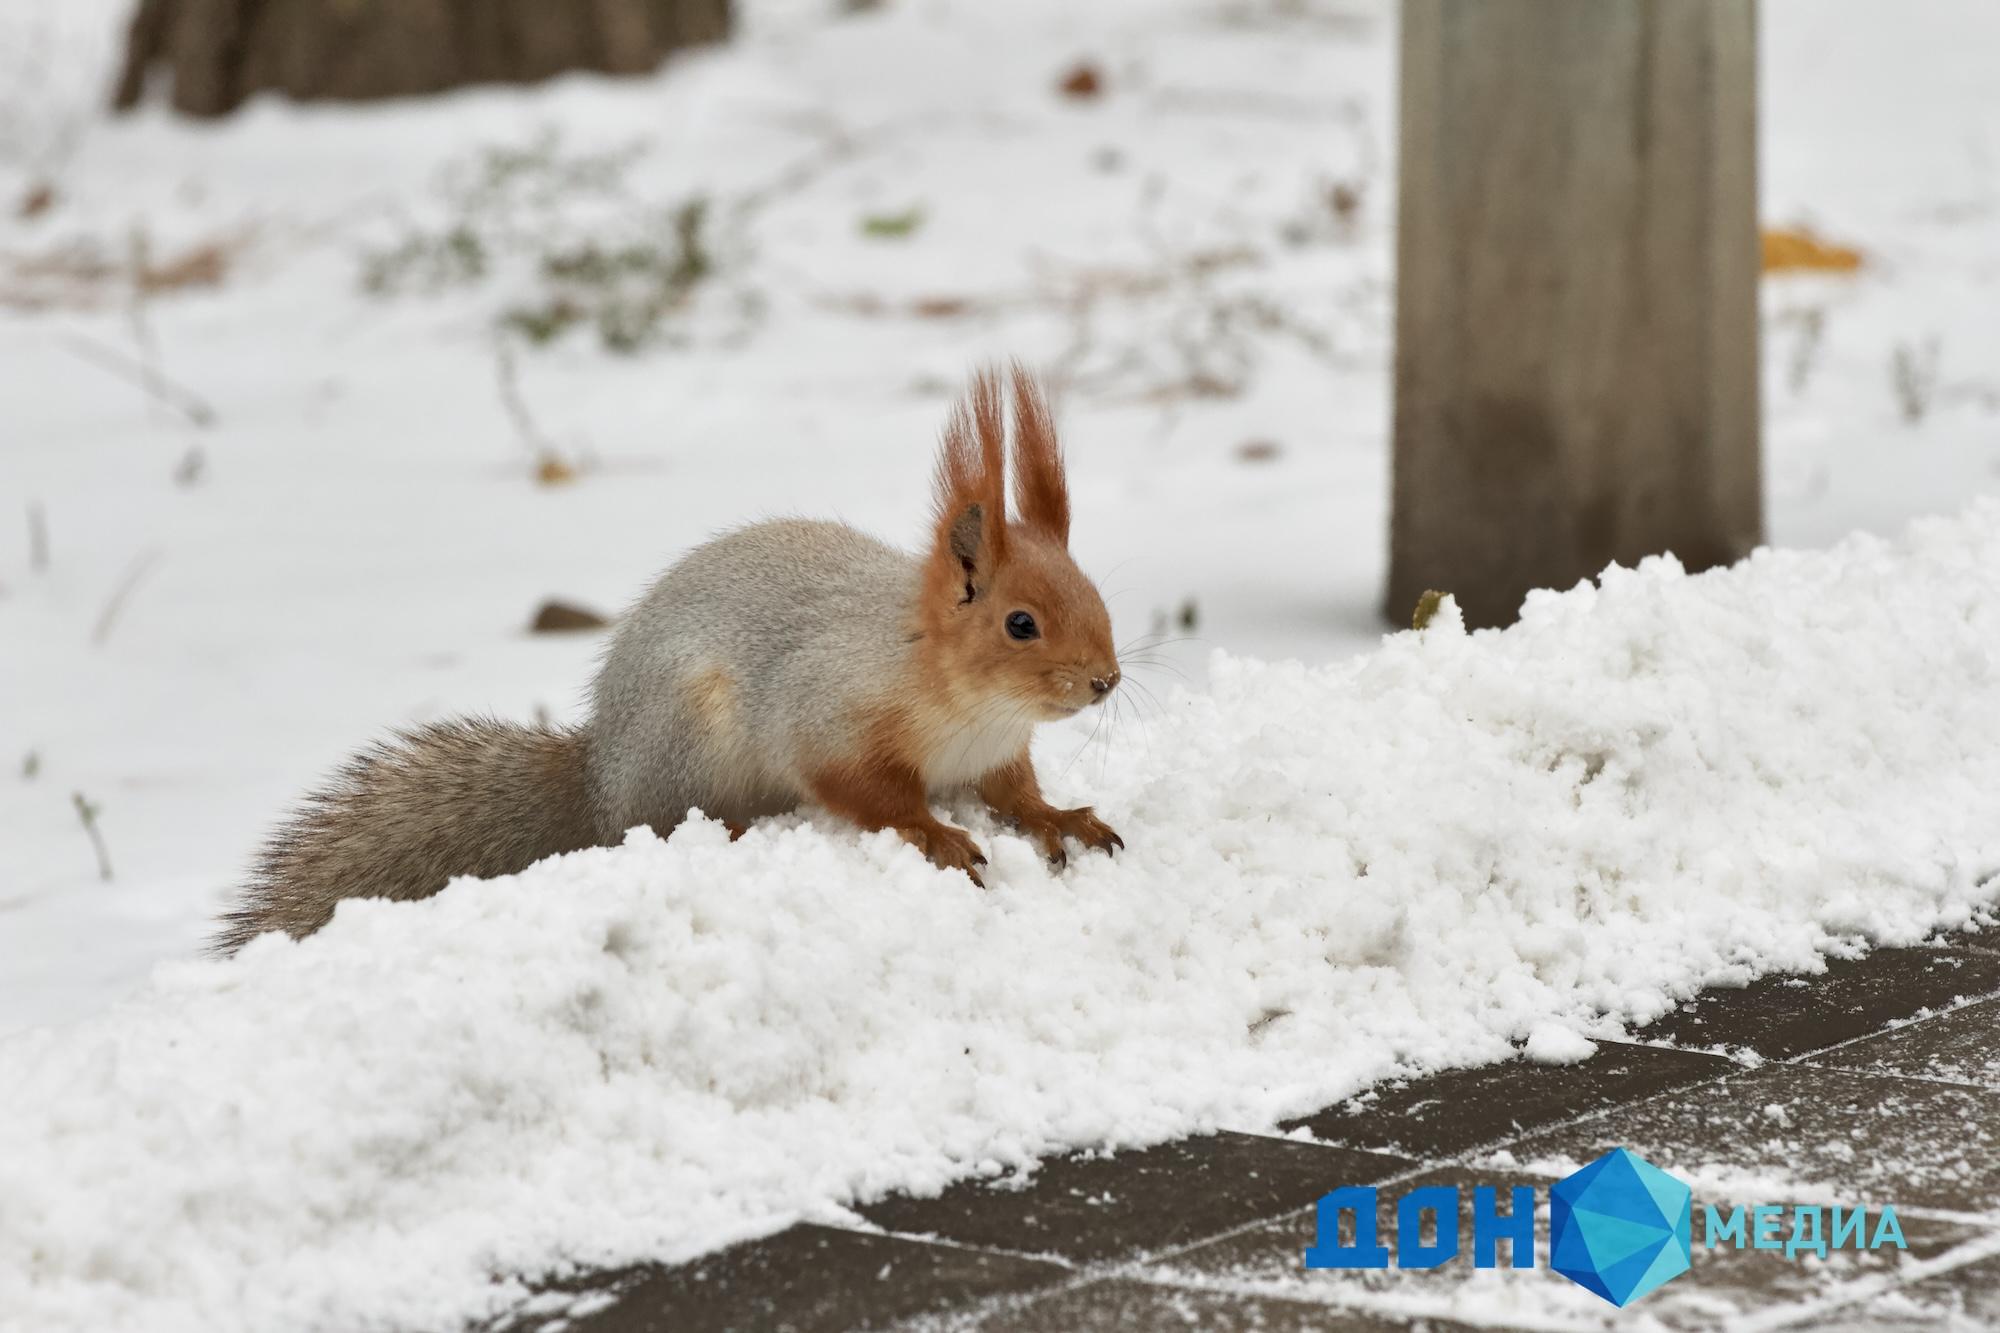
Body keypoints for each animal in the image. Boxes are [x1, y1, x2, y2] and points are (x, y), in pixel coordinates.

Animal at [221, 360, 1136, 944]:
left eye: (1094, 588)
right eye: (1020, 623)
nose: (1105, 680)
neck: (970, 699)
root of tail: (598, 781)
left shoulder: (997, 754)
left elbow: (1017, 794)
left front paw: (1061, 817)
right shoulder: (827, 711)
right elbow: (866, 790)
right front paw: (935, 833)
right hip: (690, 739)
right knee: (657, 822)